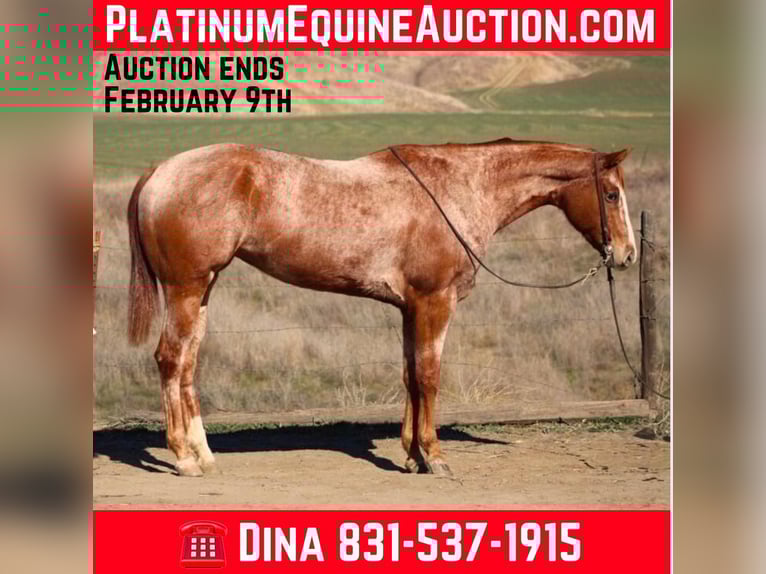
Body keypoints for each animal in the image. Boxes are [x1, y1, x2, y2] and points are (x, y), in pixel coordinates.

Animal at [126, 138, 636, 477]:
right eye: (611, 194)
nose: (628, 255)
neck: (454, 189)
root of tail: (160, 171)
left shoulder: (411, 309)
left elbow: (410, 375)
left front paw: (412, 455)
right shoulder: (434, 302)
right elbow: (429, 377)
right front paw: (435, 456)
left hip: (202, 290)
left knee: (187, 364)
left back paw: (204, 454)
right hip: (186, 288)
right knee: (170, 360)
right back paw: (184, 459)